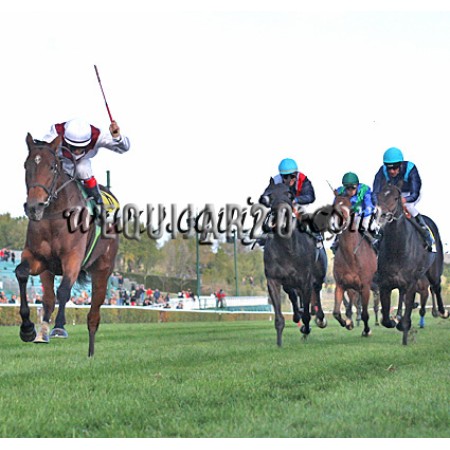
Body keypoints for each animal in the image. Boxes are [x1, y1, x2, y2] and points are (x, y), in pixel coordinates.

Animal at [15, 133, 119, 357]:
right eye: (27, 165)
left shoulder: (73, 258)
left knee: (93, 315)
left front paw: (59, 327)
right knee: (48, 300)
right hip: (48, 271)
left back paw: (90, 354)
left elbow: (64, 291)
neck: (55, 215)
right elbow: (21, 273)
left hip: (103, 271)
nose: (34, 207)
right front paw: (27, 329)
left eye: (52, 167)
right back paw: (42, 333)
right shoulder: (38, 259)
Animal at [260, 178, 327, 346]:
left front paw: (306, 329)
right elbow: (279, 317)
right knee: (293, 296)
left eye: (290, 195)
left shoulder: (306, 281)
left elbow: (308, 315)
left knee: (316, 294)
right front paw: (279, 343)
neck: (287, 249)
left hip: (317, 277)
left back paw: (319, 319)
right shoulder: (273, 280)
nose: (281, 215)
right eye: (269, 195)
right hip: (289, 283)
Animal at [329, 194, 377, 336]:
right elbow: (336, 312)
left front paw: (367, 330)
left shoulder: (365, 286)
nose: (337, 223)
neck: (351, 256)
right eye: (333, 206)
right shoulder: (341, 284)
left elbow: (366, 314)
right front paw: (347, 323)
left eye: (349, 207)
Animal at [375, 184, 448, 344]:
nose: (381, 215)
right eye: (378, 197)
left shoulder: (411, 284)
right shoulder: (385, 284)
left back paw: (442, 312)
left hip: (434, 271)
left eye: (396, 198)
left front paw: (404, 327)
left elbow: (409, 307)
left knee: (436, 287)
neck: (397, 248)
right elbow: (385, 319)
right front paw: (395, 321)